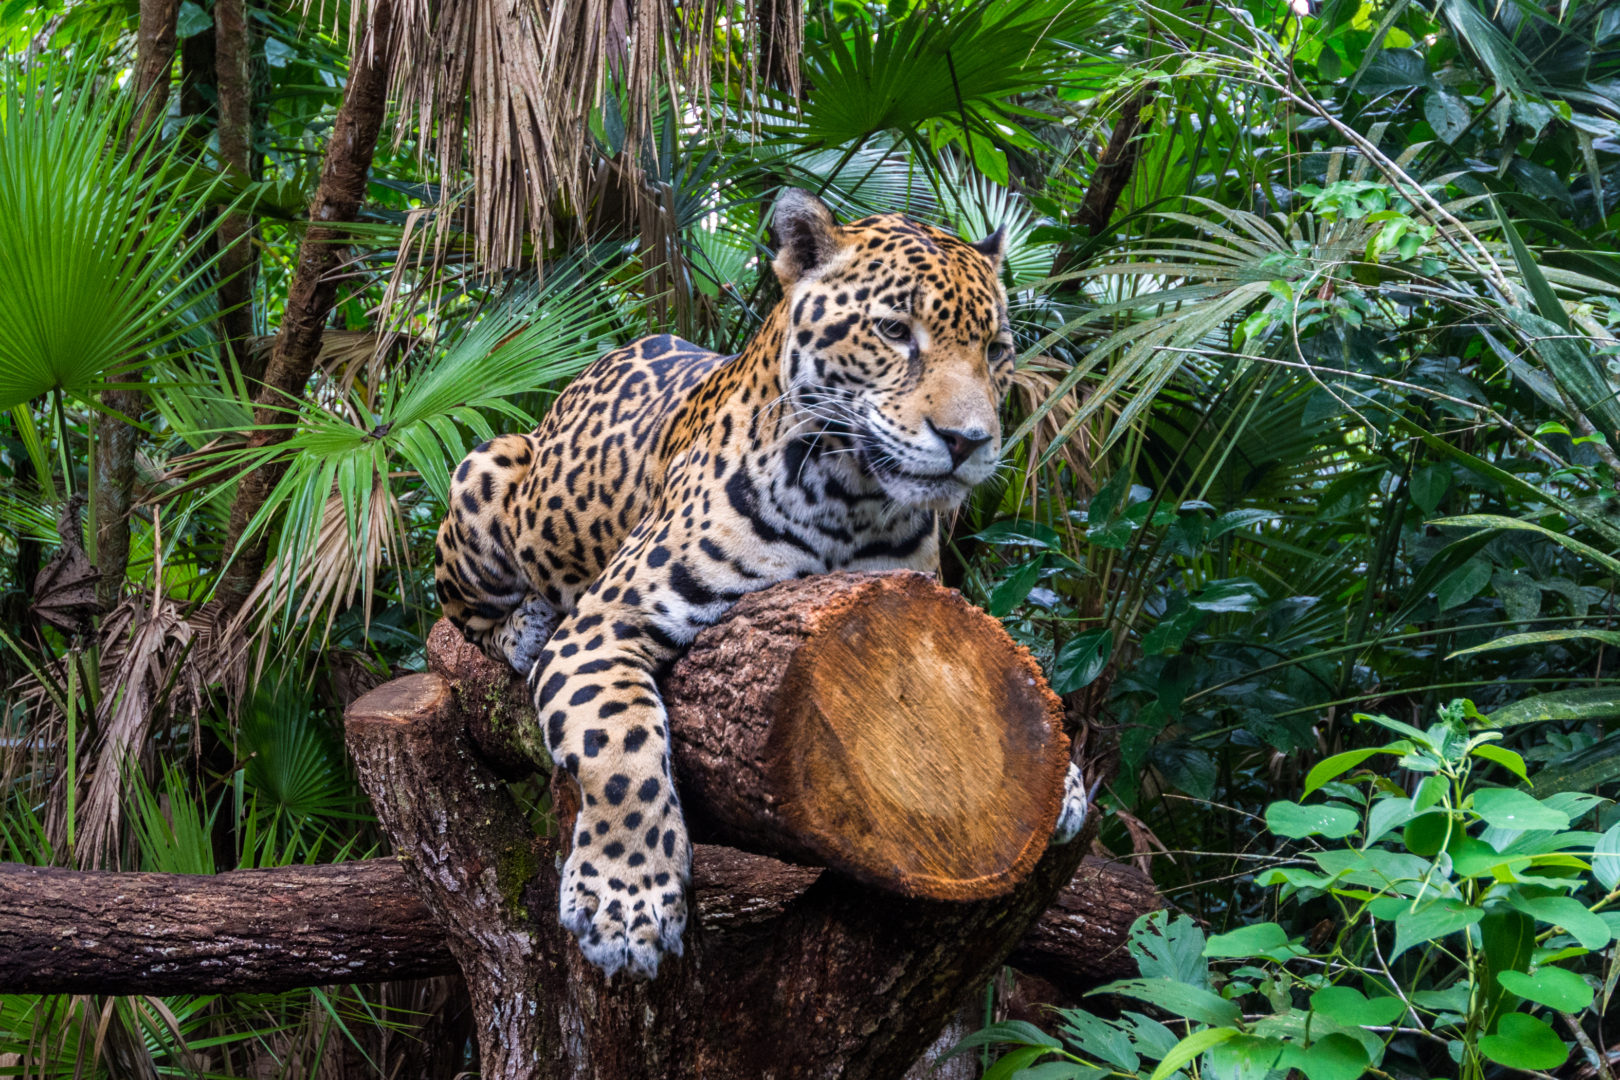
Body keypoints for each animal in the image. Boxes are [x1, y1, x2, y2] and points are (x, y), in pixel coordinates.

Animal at [433, 189, 1091, 980]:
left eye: (995, 350)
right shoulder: (604, 624)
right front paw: (627, 903)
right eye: (895, 331)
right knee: (462, 614)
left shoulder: (919, 607)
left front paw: (1066, 779)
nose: (969, 442)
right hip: (487, 470)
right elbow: (621, 752)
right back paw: (523, 626)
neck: (854, 498)